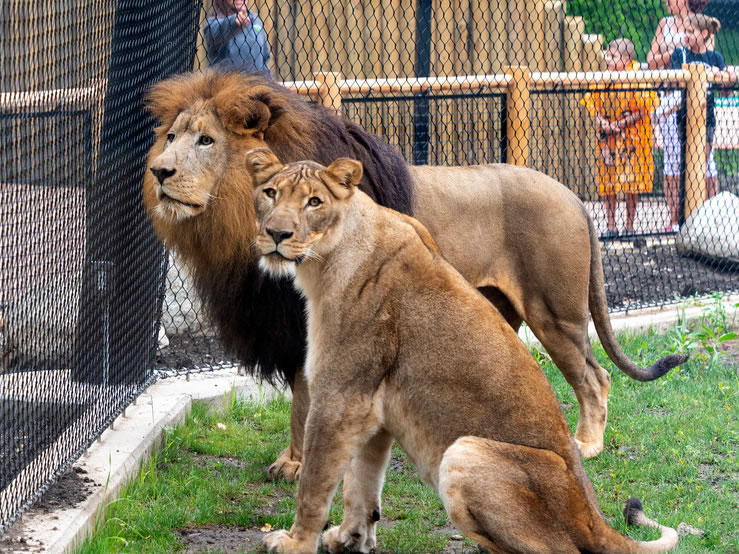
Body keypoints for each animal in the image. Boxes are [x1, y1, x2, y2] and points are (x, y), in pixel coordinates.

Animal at [143, 70, 686, 476]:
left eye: (206, 140)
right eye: (170, 138)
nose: (159, 172)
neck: (235, 221)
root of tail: (572, 195)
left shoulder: (308, 322)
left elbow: (304, 399)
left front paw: (296, 465)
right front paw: (295, 459)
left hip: (555, 311)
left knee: (595, 377)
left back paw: (587, 444)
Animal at [248, 148, 679, 554]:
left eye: (314, 202)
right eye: (270, 193)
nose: (276, 233)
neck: (325, 260)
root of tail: (593, 516)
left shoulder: (339, 398)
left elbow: (314, 484)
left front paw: (295, 542)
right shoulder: (372, 408)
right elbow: (361, 486)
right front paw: (349, 538)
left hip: (467, 448)